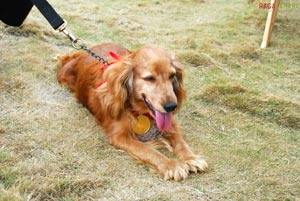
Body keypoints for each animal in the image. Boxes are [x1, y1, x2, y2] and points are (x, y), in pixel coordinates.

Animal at [58, 42, 209, 181]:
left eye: (172, 75)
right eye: (150, 78)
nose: (172, 106)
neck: (140, 111)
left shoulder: (171, 123)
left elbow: (180, 141)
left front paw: (191, 157)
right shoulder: (119, 136)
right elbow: (147, 150)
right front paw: (171, 165)